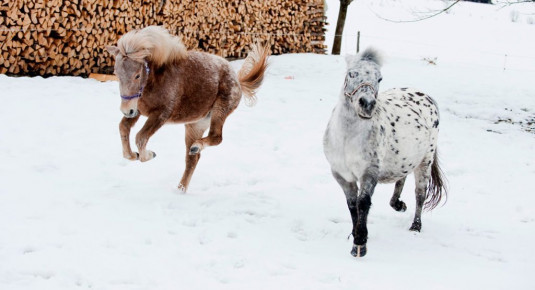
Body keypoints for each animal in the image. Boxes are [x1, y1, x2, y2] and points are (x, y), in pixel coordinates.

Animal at [106, 25, 270, 193]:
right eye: (116, 74)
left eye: (137, 75)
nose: (126, 110)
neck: (156, 80)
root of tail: (238, 80)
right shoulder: (138, 111)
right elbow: (123, 128)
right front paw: (133, 155)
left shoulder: (161, 115)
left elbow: (140, 137)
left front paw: (149, 155)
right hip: (194, 125)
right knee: (192, 159)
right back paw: (181, 188)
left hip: (219, 111)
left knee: (216, 137)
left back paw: (196, 148)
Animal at [322, 48, 448, 258]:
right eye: (351, 74)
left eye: (379, 78)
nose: (367, 104)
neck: (348, 137)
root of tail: (426, 96)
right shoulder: (342, 175)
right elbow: (352, 204)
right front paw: (355, 234)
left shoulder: (369, 172)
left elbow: (363, 203)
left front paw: (360, 244)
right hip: (404, 159)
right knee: (401, 179)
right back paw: (398, 204)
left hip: (425, 161)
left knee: (420, 193)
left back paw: (415, 226)